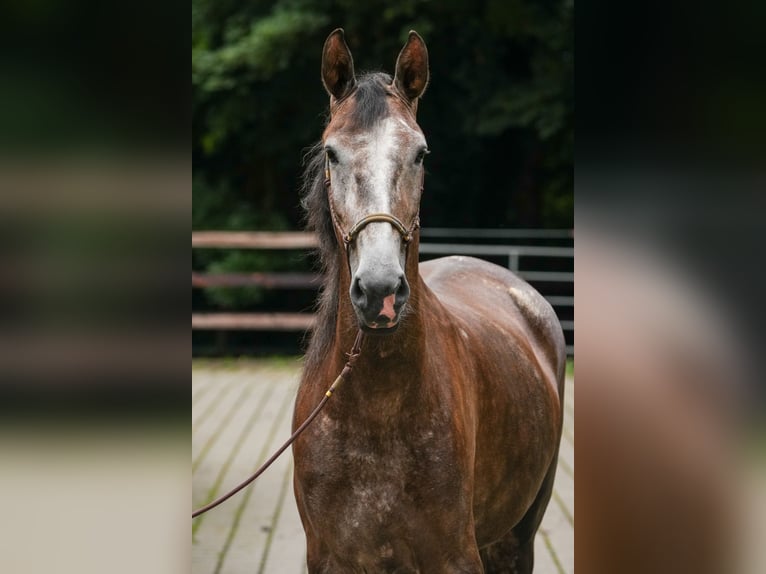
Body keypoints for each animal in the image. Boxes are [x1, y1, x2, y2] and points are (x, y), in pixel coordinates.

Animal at [292, 29, 568, 572]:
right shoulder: (328, 558)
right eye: (332, 153)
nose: (379, 291)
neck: (376, 406)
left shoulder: (454, 555)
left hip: (518, 538)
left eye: (420, 153)